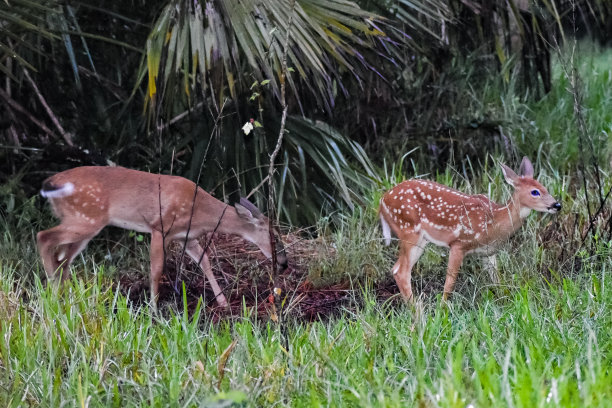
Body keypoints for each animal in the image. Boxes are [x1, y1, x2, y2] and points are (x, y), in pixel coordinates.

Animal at [37, 166, 288, 310]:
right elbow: (156, 269)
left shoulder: (186, 236)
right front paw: (153, 309)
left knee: (63, 258)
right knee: (44, 237)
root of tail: (50, 184)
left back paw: (63, 296)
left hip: (84, 223)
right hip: (87, 219)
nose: (284, 264)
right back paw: (53, 294)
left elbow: (205, 261)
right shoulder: (160, 228)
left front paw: (223, 303)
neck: (199, 211)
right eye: (274, 235)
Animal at [380, 158, 560, 302]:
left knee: (396, 269)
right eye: (535, 192)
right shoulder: (459, 243)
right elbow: (450, 283)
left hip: (419, 239)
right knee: (401, 272)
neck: (493, 222)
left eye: (545, 188)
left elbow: (498, 280)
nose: (557, 205)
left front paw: (505, 301)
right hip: (409, 230)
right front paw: (442, 309)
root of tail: (382, 201)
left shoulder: (488, 252)